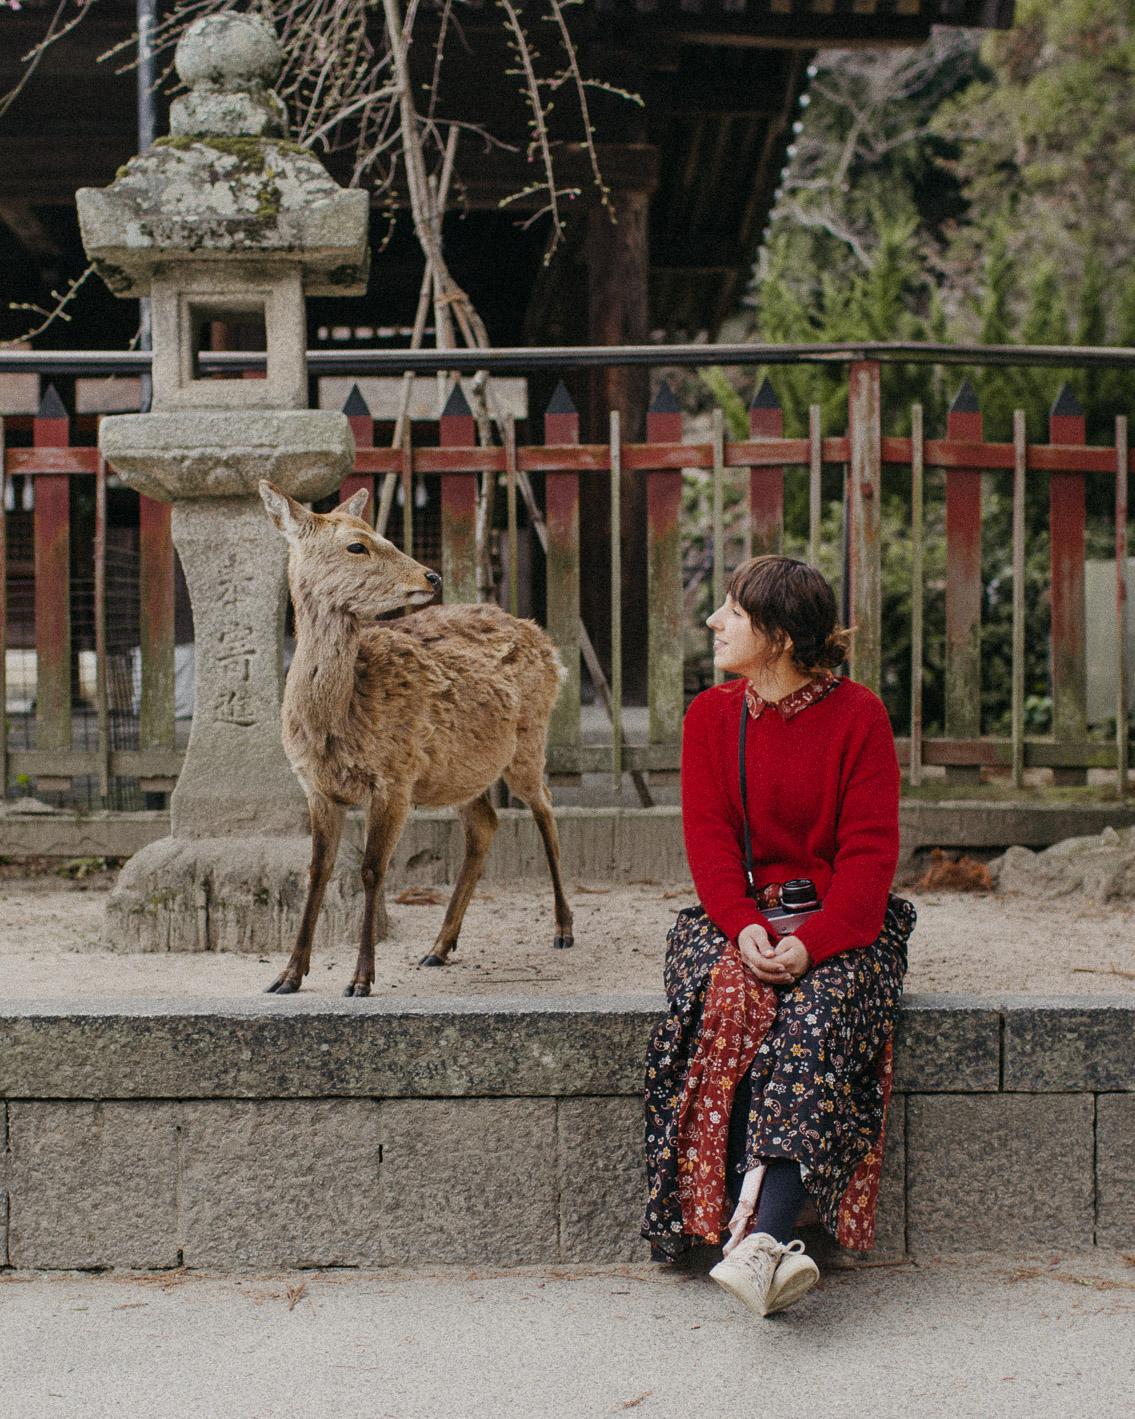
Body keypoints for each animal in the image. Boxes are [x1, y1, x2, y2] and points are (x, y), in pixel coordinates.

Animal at [261, 476, 573, 998]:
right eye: (357, 544)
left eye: (380, 533)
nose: (432, 577)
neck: (336, 723)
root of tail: (547, 643)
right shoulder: (317, 788)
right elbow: (317, 871)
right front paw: (288, 975)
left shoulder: (395, 779)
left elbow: (371, 871)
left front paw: (361, 979)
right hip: (461, 771)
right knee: (484, 823)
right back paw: (439, 947)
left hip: (529, 740)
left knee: (546, 805)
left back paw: (564, 928)